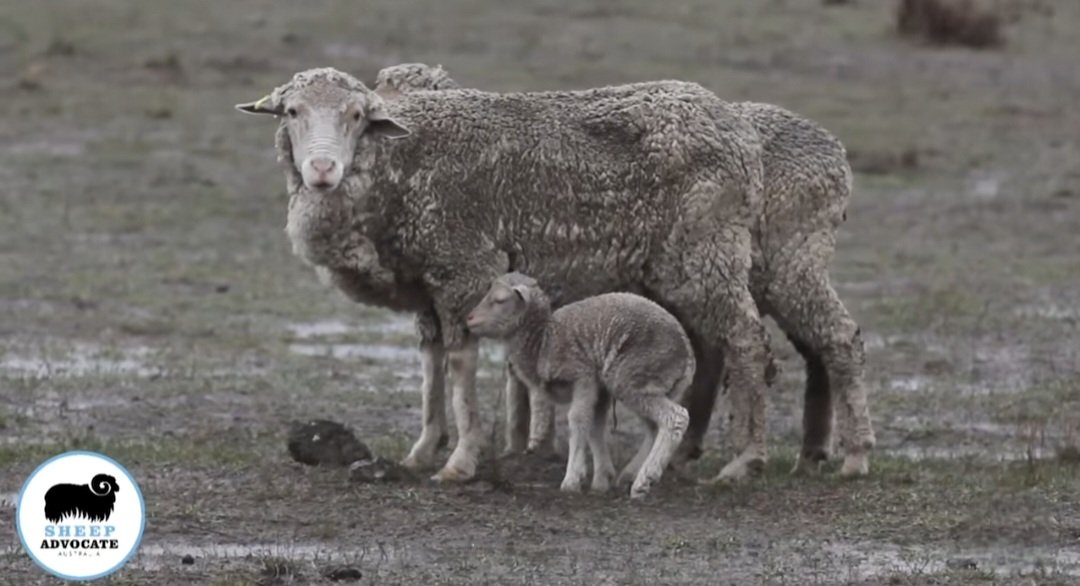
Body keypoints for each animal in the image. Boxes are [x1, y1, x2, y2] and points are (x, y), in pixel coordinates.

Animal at [466, 272, 693, 498]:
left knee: (676, 417)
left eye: (500, 300)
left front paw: (571, 480)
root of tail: (687, 352)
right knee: (654, 427)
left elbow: (578, 419)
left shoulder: (582, 375)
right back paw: (630, 474)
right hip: (655, 385)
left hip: (633, 377)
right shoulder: (599, 387)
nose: (469, 319)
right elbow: (595, 426)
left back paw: (645, 480)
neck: (543, 342)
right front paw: (601, 479)